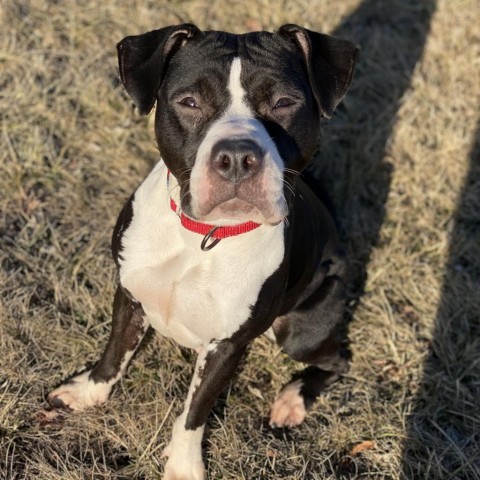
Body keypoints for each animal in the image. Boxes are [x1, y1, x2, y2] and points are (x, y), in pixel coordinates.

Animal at [47, 23, 356, 480]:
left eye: (284, 102)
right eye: (189, 102)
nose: (238, 157)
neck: (205, 236)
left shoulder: (226, 346)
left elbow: (195, 410)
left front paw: (182, 465)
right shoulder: (130, 295)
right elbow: (115, 354)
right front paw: (88, 392)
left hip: (298, 331)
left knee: (339, 359)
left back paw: (292, 399)